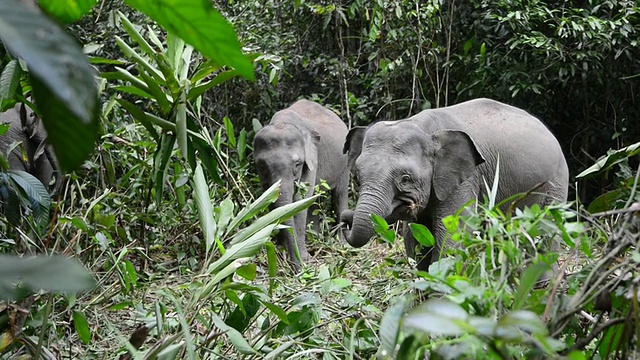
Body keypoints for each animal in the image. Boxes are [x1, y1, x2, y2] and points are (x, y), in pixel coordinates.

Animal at [251, 100, 350, 268]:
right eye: (263, 166)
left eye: (297, 164)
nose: (299, 267)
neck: (282, 122)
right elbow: (271, 200)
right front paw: (280, 249)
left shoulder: (312, 158)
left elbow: (299, 202)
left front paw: (302, 258)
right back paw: (314, 239)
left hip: (345, 162)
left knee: (339, 196)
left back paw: (342, 244)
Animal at [342, 97, 568, 272]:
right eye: (358, 177)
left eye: (405, 179)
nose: (345, 221)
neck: (423, 127)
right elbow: (414, 237)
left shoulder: (467, 178)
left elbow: (453, 233)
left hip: (556, 184)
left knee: (544, 232)